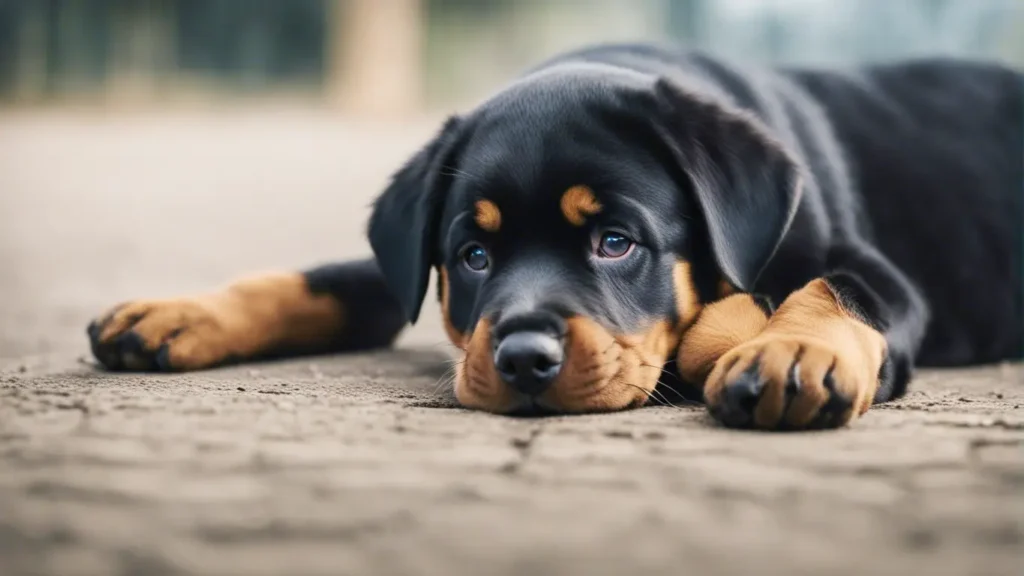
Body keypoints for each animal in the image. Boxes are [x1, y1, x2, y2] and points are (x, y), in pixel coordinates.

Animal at [88, 44, 1024, 428]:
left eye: (616, 242)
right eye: (473, 256)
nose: (524, 361)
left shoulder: (873, 271)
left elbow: (835, 291)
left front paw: (795, 354)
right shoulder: (406, 261)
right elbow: (327, 278)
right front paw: (181, 313)